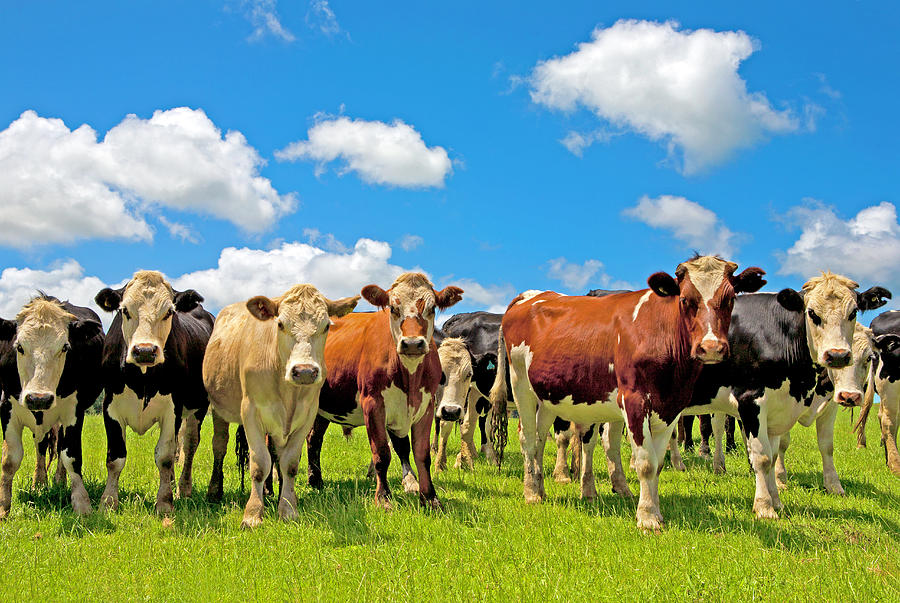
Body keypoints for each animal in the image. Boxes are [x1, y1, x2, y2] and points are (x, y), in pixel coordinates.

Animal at [0, 295, 104, 517]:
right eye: (19, 346)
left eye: (65, 347)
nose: (38, 398)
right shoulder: (7, 405)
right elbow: (10, 459)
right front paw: (3, 507)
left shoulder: (74, 411)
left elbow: (71, 456)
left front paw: (82, 504)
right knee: (41, 446)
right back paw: (39, 483)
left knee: (60, 447)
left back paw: (59, 481)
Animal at [95, 271, 214, 514]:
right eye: (124, 310)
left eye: (169, 312)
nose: (145, 350)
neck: (142, 378)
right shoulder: (110, 407)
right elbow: (115, 458)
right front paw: (108, 502)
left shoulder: (173, 409)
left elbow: (165, 457)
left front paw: (165, 502)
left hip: (198, 408)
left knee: (188, 445)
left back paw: (182, 489)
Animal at [203, 284, 358, 527]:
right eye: (280, 324)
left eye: (326, 326)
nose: (304, 371)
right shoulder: (250, 412)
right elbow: (259, 464)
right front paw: (253, 514)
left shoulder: (307, 415)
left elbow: (290, 464)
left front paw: (287, 508)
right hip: (219, 410)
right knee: (219, 446)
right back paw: (215, 492)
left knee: (275, 453)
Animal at [306, 273, 463, 508]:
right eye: (392, 308)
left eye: (432, 307)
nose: (412, 344)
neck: (409, 378)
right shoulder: (373, 405)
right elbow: (381, 453)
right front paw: (383, 497)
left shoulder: (426, 406)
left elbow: (421, 453)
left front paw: (430, 498)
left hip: (322, 409)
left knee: (314, 439)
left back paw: (315, 480)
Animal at [490, 255, 765, 530]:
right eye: (685, 299)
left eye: (730, 299)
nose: (711, 348)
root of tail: (532, 295)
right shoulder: (634, 401)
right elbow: (645, 462)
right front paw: (647, 517)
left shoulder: (671, 407)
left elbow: (658, 462)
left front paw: (654, 510)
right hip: (521, 384)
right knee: (527, 437)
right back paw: (531, 493)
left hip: (547, 396)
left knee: (538, 438)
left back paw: (540, 487)